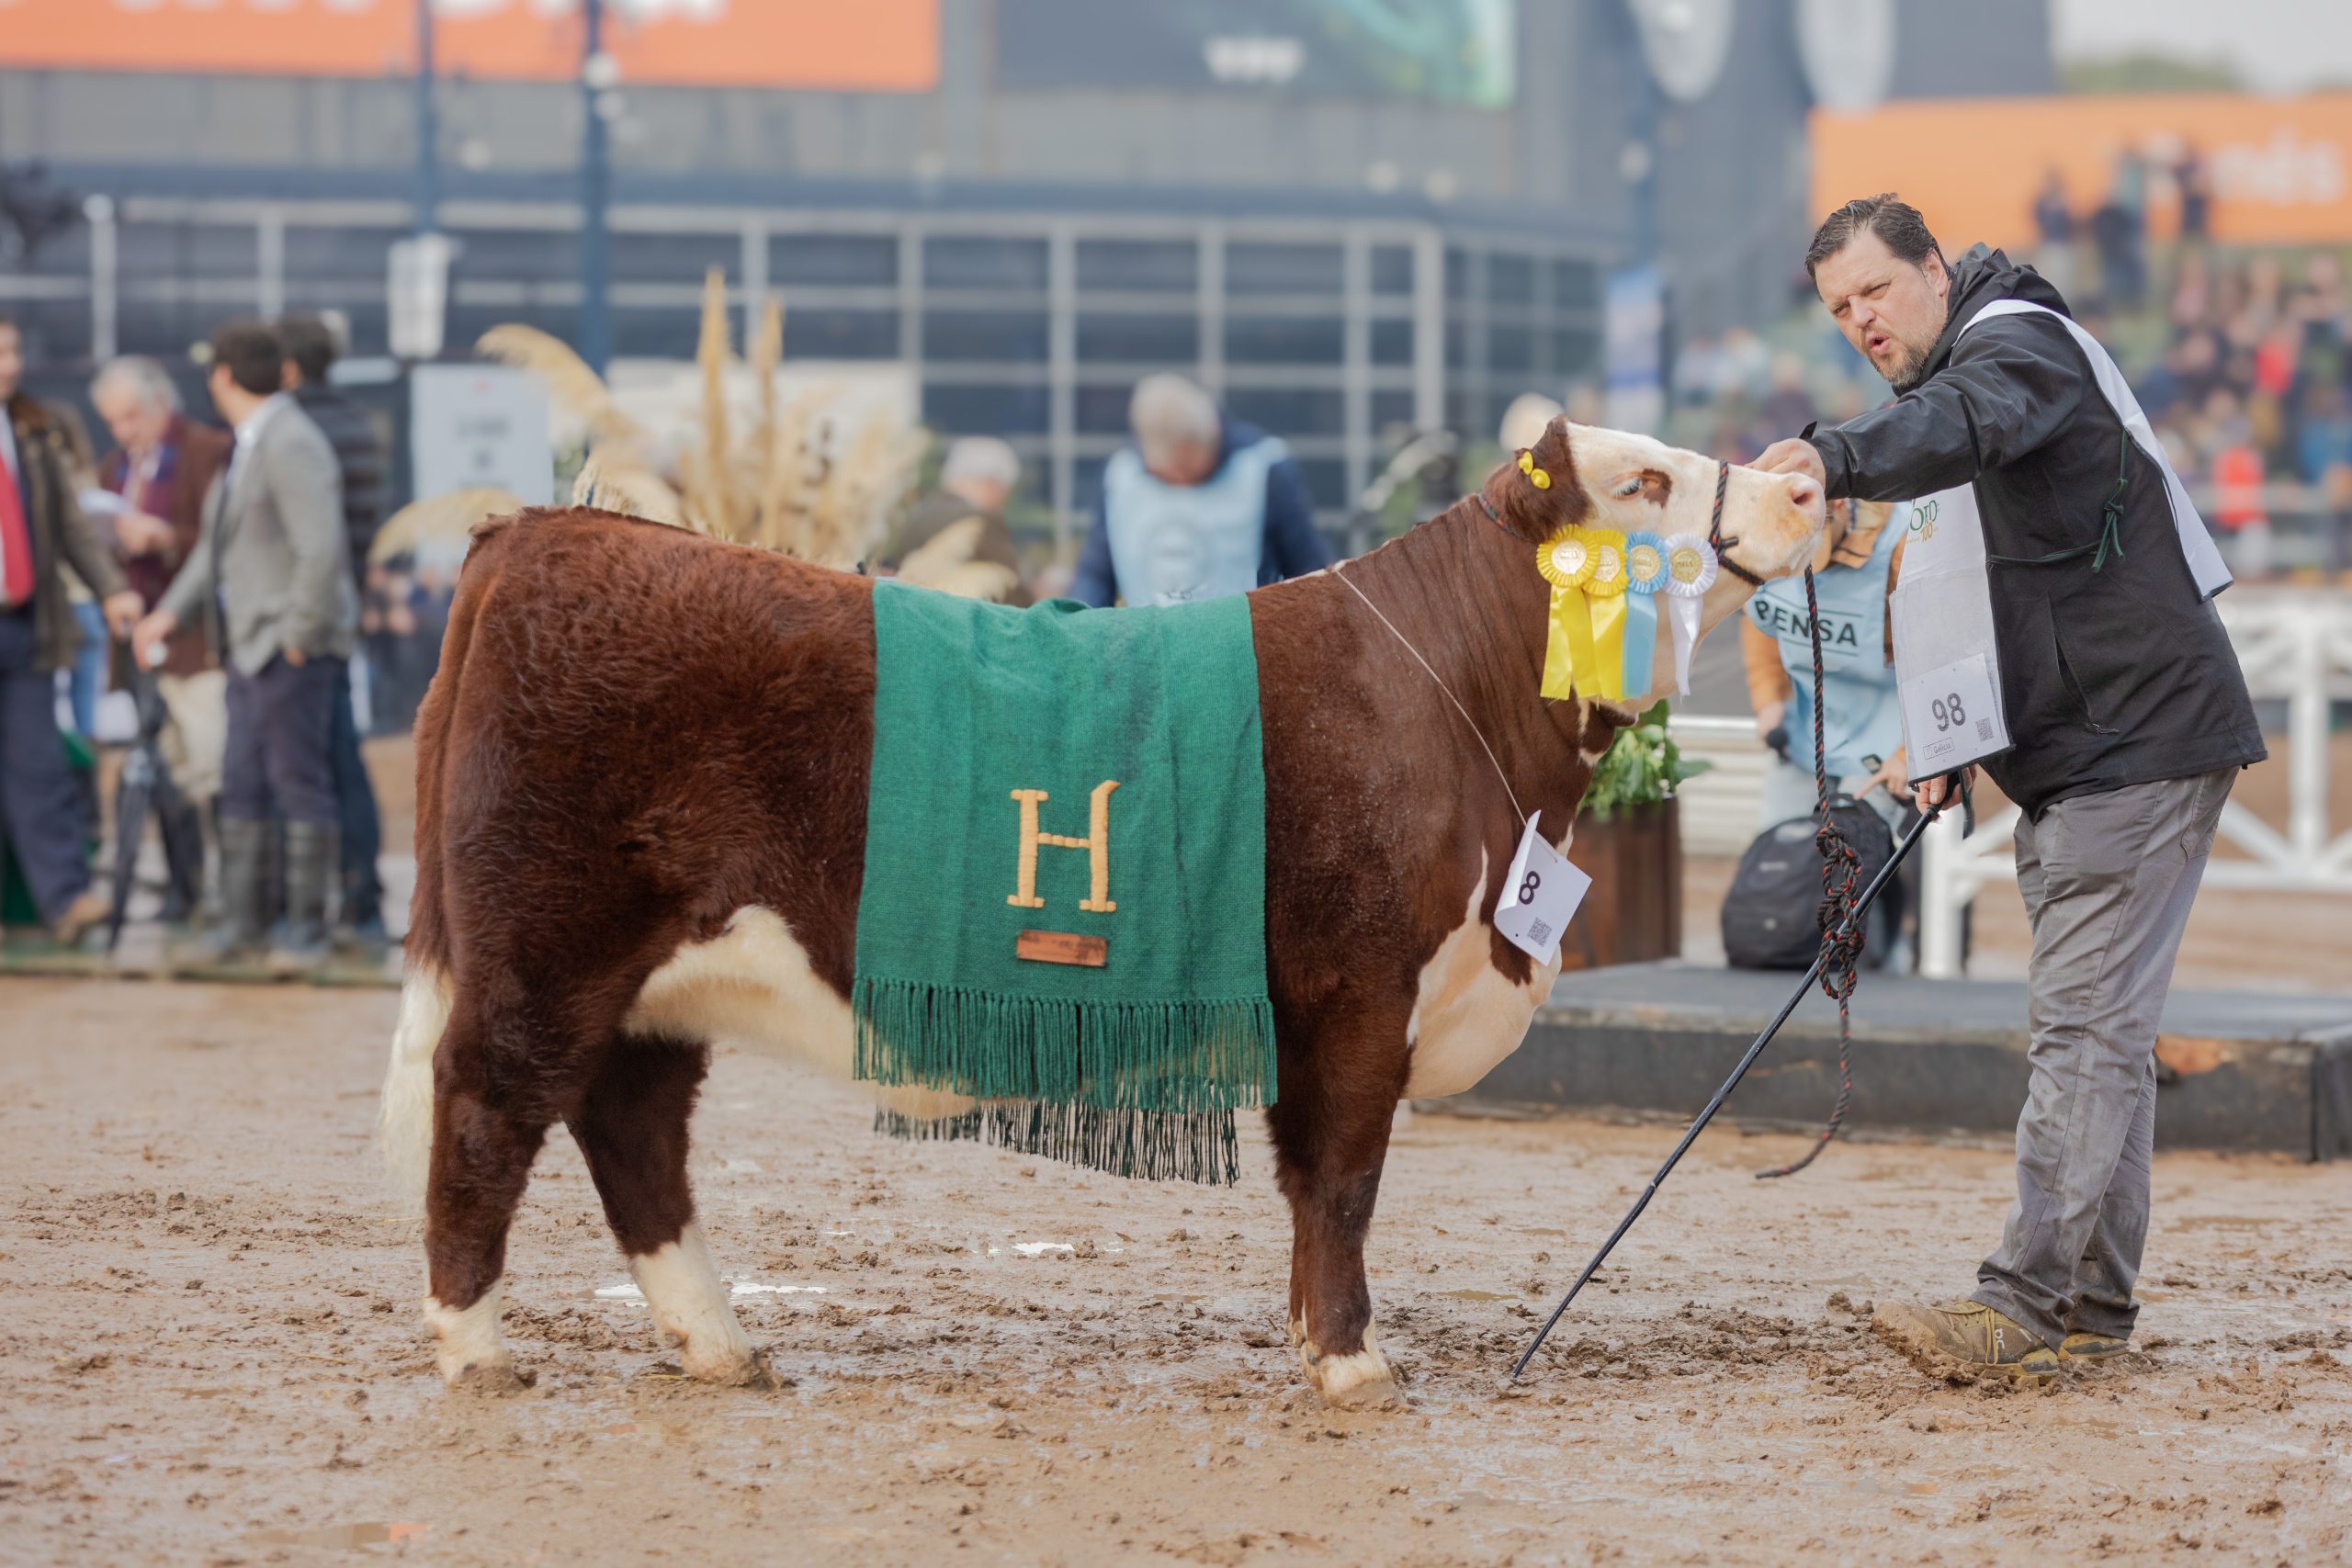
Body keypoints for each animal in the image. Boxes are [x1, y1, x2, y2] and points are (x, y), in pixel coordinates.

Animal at [380, 415, 1815, 1410]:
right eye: (1641, 484)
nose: (1804, 483)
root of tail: (546, 530)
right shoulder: (1358, 989)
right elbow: (1343, 1179)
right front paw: (1353, 1365)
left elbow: (1315, 1188)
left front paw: (1317, 1341)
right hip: (544, 949)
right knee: (488, 1110)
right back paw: (476, 1348)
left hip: (650, 981)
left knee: (632, 1131)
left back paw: (721, 1345)